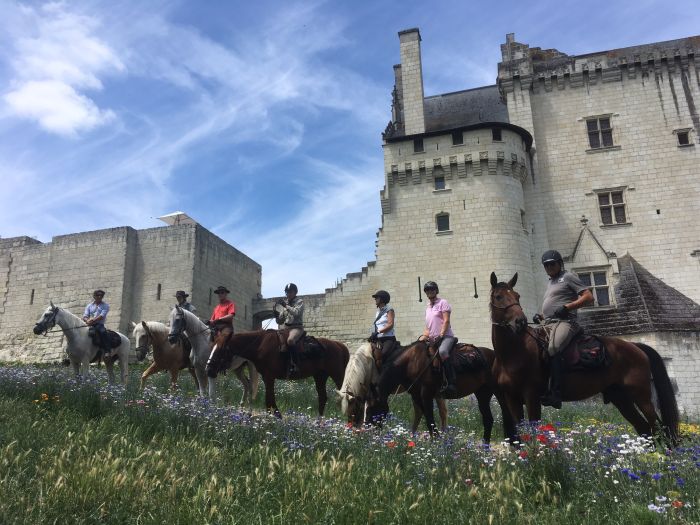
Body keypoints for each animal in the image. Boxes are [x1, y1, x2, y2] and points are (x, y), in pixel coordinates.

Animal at [206, 328, 350, 418]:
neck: (259, 345)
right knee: (323, 398)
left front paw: (277, 415)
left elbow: (269, 400)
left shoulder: (269, 377)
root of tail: (339, 345)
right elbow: (269, 400)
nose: (208, 370)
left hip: (338, 376)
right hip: (320, 376)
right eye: (212, 347)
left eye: (221, 349)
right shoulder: (266, 377)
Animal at [366, 338, 516, 440]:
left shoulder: (426, 394)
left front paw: (437, 443)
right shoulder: (416, 395)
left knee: (507, 415)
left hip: (499, 393)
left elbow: (430, 421)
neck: (413, 362)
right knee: (488, 419)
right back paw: (486, 447)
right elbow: (422, 417)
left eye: (373, 408)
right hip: (482, 393)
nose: (367, 431)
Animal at [490, 272, 680, 444]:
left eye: (517, 296)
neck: (513, 354)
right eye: (498, 297)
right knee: (645, 430)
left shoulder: (532, 396)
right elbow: (522, 434)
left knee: (659, 429)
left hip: (641, 396)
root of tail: (635, 346)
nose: (520, 322)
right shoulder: (512, 399)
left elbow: (534, 434)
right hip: (621, 398)